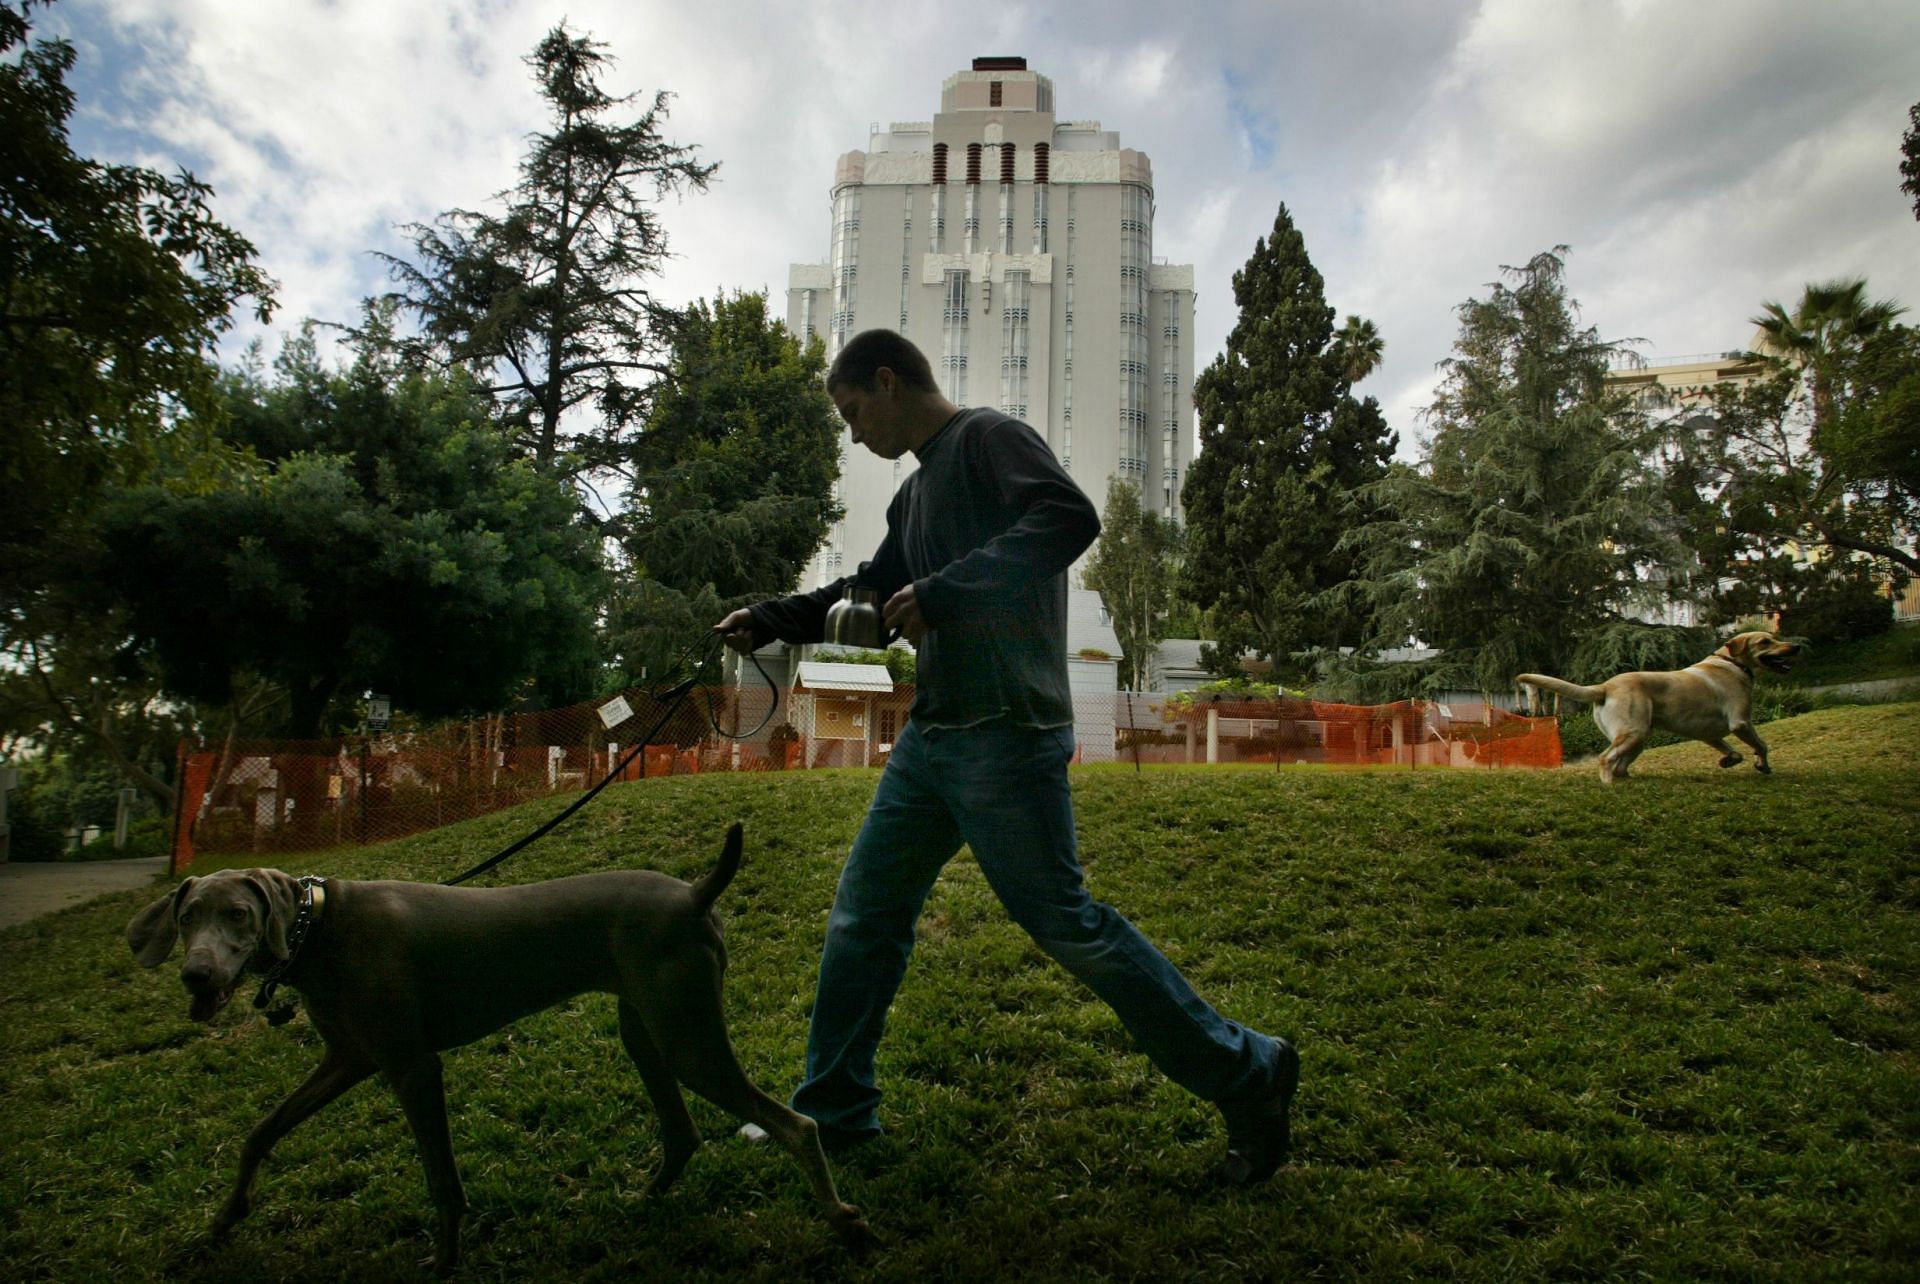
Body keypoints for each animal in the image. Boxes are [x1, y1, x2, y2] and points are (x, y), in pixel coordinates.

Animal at [121, 821, 871, 1274]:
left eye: (238, 916)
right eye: (187, 918)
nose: (198, 976)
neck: (321, 926)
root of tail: (694, 891)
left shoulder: (413, 1067)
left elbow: (442, 1179)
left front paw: (446, 1261)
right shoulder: (350, 1059)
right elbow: (261, 1133)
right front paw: (223, 1221)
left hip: (686, 1038)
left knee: (795, 1125)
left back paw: (843, 1221)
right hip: (646, 1029)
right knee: (684, 1132)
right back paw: (642, 1201)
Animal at [1512, 629, 1797, 783]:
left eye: (1774, 638)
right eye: (1765, 642)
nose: (1795, 646)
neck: (1731, 662)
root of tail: (1605, 686)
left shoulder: (1708, 733)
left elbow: (1734, 750)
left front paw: (1730, 760)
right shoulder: (1740, 721)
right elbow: (1762, 744)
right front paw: (1762, 765)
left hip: (1638, 737)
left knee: (1620, 765)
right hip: (1634, 732)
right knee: (1606, 759)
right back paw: (1608, 784)